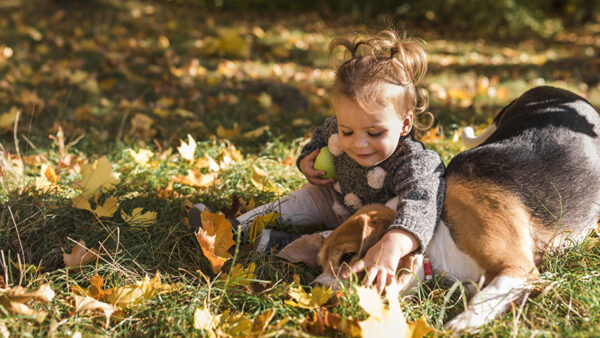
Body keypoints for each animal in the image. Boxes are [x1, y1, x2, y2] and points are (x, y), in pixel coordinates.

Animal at [310, 86, 600, 332]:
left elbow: (483, 298)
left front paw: (460, 324)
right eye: (320, 263)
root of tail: (555, 91)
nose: (314, 290)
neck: (437, 232)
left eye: (347, 257)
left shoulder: (517, 269)